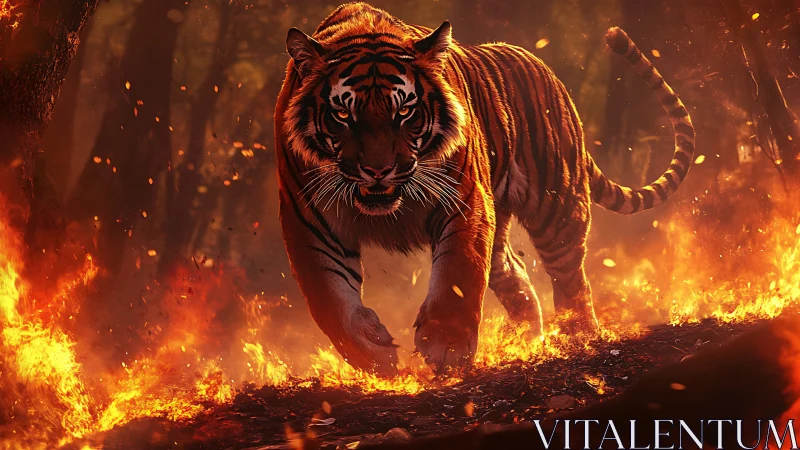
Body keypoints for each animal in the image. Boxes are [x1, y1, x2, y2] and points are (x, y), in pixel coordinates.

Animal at [274, 2, 695, 375]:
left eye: (404, 111)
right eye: (343, 114)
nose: (378, 170)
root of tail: (551, 75)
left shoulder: (465, 201)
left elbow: (458, 275)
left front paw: (445, 348)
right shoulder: (309, 224)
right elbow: (329, 301)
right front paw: (374, 356)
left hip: (557, 207)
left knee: (571, 278)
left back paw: (579, 336)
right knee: (515, 271)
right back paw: (524, 338)